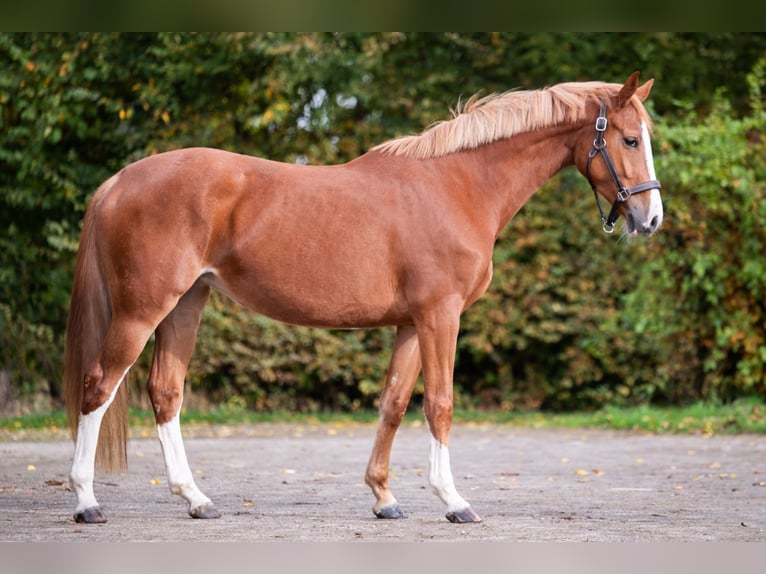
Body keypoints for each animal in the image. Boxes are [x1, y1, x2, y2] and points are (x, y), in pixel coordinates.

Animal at [66, 72, 664, 528]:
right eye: (629, 141)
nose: (651, 219)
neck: (457, 184)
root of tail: (118, 181)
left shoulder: (411, 323)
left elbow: (394, 404)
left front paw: (384, 498)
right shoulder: (440, 316)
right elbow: (440, 405)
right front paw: (454, 501)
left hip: (186, 304)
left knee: (165, 392)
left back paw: (196, 499)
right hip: (142, 310)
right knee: (98, 386)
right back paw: (87, 501)